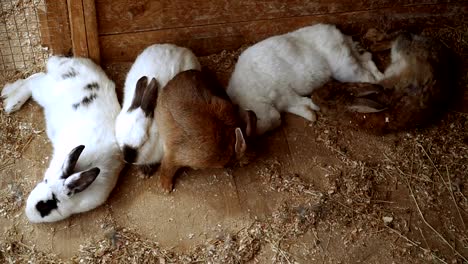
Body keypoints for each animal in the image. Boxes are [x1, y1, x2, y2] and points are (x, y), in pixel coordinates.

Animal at [0, 56, 124, 223]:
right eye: (45, 180)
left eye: (47, 206)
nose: (28, 212)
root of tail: (68, 63)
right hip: (43, 91)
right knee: (33, 79)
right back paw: (11, 102)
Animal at [227, 23, 384, 135]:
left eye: (257, 118)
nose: (277, 120)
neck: (250, 91)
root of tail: (337, 33)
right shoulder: (284, 102)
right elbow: (296, 108)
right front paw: (311, 115)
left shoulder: (285, 93)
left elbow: (299, 102)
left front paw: (313, 109)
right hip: (353, 59)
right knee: (368, 60)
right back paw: (381, 77)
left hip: (345, 70)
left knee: (367, 76)